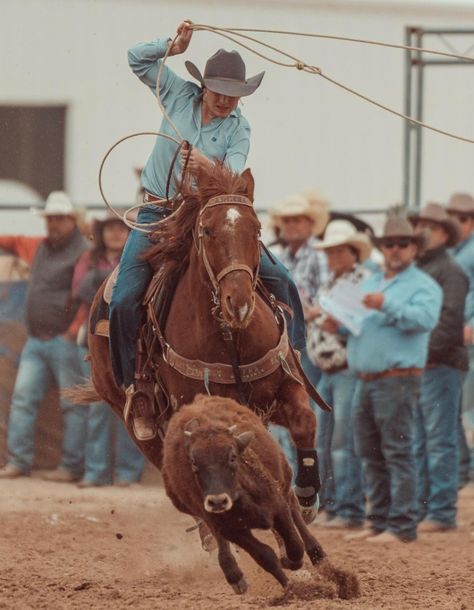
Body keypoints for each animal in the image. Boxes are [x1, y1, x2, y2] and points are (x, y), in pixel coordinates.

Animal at [84, 165, 322, 508]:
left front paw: (307, 492)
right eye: (207, 231)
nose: (238, 303)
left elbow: (304, 420)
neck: (232, 338)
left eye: (257, 230)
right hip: (134, 419)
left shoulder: (284, 382)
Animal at [161, 394, 324, 588]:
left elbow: (295, 545)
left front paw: (294, 563)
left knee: (293, 505)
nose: (217, 501)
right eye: (194, 463)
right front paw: (290, 588)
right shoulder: (232, 531)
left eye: (232, 457)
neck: (242, 499)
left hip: (283, 478)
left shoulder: (278, 509)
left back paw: (316, 551)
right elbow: (265, 556)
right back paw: (233, 574)